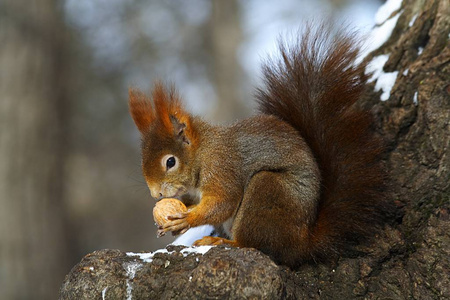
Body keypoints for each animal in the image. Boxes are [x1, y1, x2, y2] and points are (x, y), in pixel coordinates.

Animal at [128, 22, 388, 268]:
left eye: (170, 161)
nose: (156, 194)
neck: (203, 152)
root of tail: (301, 242)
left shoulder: (222, 167)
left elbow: (223, 202)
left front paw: (188, 220)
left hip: (268, 191)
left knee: (253, 243)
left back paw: (222, 241)